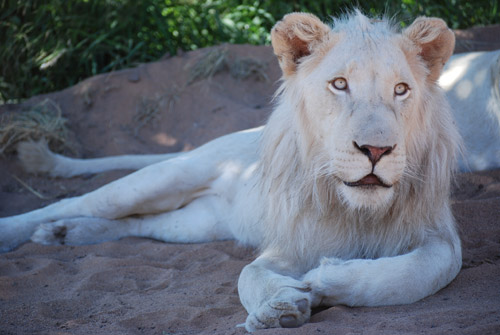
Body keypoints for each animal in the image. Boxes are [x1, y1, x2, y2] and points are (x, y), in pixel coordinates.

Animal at [0, 11, 462, 332]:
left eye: (401, 89)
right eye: (339, 84)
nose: (376, 150)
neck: (355, 209)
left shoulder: (439, 233)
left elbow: (419, 273)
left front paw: (320, 282)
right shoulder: (289, 241)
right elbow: (248, 274)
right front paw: (279, 308)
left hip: (196, 224)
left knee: (142, 223)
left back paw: (67, 234)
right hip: (171, 175)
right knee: (85, 202)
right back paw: (39, 228)